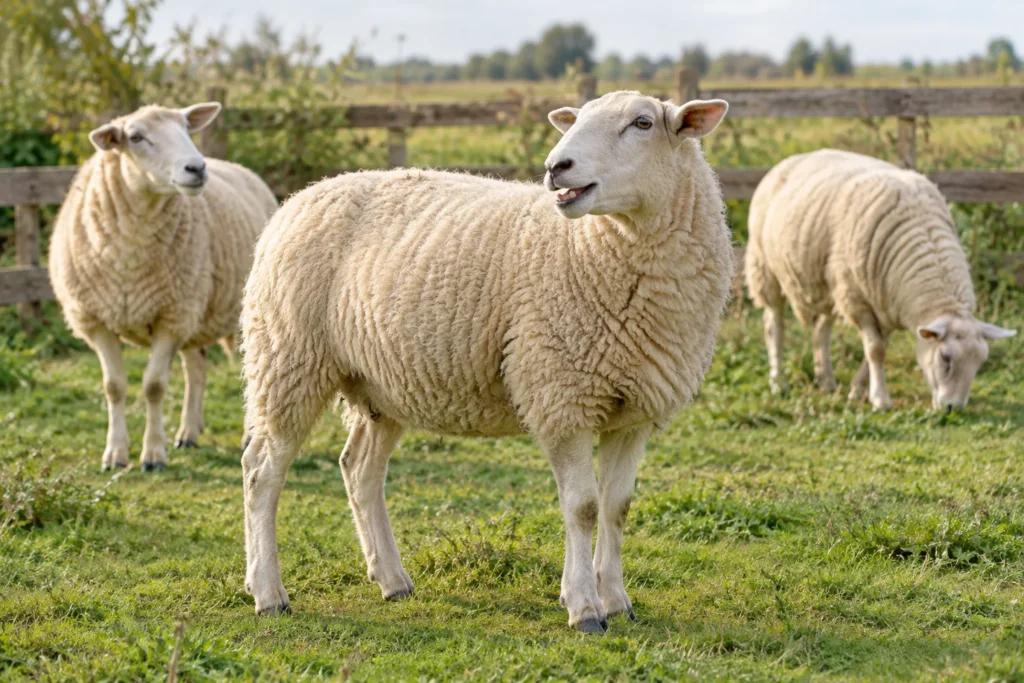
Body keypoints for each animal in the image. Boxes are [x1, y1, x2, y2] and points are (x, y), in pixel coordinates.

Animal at [48, 102, 277, 471]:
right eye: (136, 137)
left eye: (186, 127)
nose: (197, 167)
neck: (130, 257)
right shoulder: (97, 320)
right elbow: (114, 386)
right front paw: (115, 454)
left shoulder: (170, 318)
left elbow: (154, 386)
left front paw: (153, 454)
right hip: (194, 310)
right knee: (196, 367)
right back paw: (189, 433)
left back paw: (245, 436)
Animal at [239, 91, 733, 633]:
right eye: (576, 119)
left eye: (643, 123)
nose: (556, 166)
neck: (599, 244)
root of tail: (298, 197)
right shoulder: (560, 395)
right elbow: (582, 507)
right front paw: (584, 607)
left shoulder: (635, 411)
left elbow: (616, 508)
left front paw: (617, 601)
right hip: (287, 357)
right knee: (261, 472)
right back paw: (268, 592)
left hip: (379, 383)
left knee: (359, 470)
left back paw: (392, 580)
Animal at [745, 149, 1015, 411]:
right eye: (945, 358)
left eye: (981, 362)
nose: (953, 408)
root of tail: (791, 159)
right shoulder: (858, 300)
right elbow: (875, 350)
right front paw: (880, 400)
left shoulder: (884, 303)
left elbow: (877, 348)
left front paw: (857, 391)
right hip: (765, 267)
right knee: (774, 325)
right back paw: (778, 382)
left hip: (828, 285)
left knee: (821, 329)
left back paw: (826, 380)